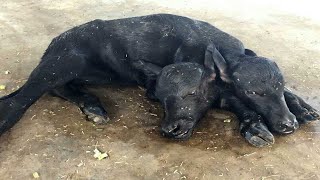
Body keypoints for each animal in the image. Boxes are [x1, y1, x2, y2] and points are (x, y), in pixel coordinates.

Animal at [0, 14, 318, 148]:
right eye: (253, 91)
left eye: (277, 87)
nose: (286, 124)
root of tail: (55, 42)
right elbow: (234, 100)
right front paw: (256, 127)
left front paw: (303, 108)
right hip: (62, 63)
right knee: (19, 99)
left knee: (58, 89)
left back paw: (94, 107)